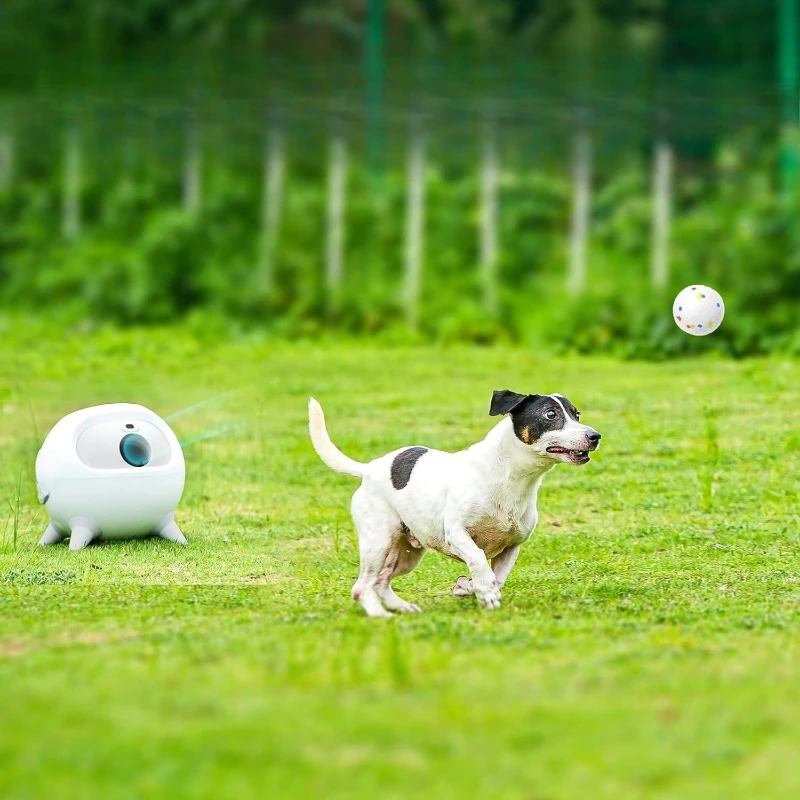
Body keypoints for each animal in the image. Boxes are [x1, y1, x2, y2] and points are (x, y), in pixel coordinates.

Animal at [308, 390, 600, 616]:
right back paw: (380, 615)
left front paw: (470, 587)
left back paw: (401, 607)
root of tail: (369, 468)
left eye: (576, 414)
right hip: (378, 541)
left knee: (381, 581)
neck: (510, 478)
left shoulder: (512, 546)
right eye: (551, 415)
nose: (595, 436)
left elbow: (498, 578)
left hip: (407, 551)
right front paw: (483, 590)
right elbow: (478, 558)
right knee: (362, 586)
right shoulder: (456, 533)